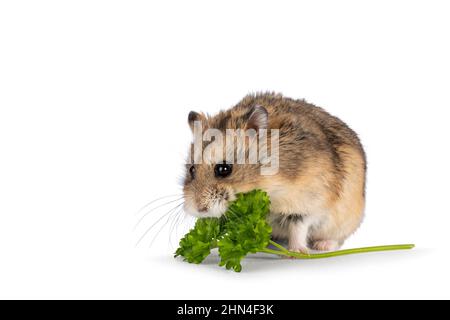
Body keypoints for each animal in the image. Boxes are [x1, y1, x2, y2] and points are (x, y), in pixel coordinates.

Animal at [182, 92, 366, 252]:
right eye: (192, 169)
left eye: (224, 169)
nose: (199, 209)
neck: (268, 184)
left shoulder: (308, 203)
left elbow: (298, 228)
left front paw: (297, 252)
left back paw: (322, 246)